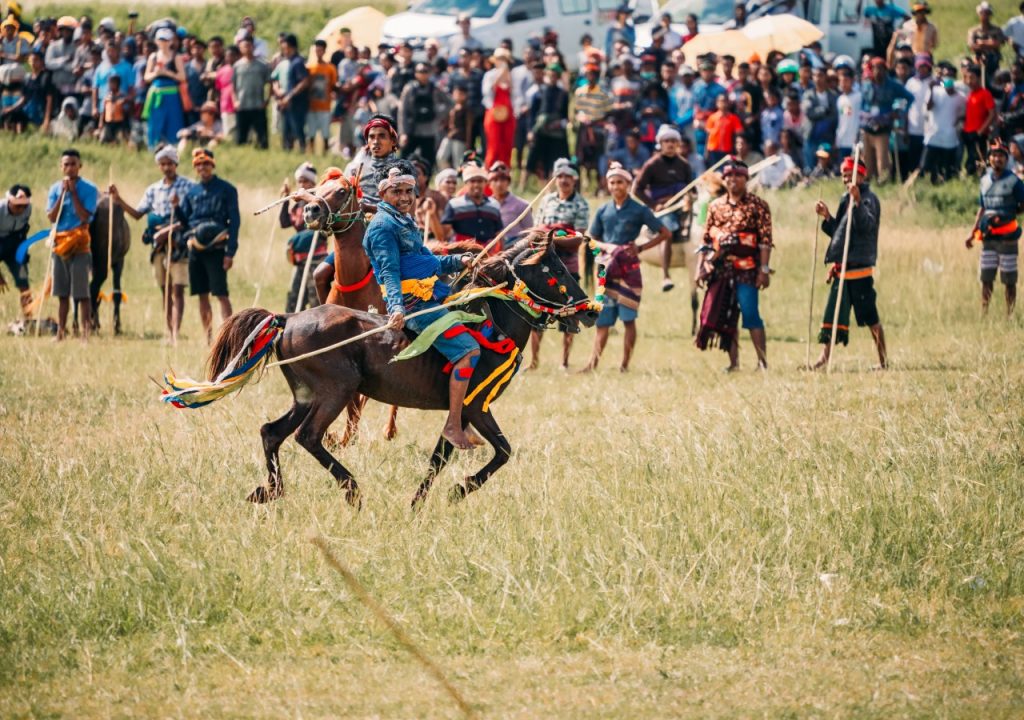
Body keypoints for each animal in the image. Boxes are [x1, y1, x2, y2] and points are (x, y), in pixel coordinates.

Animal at [182, 231, 598, 507]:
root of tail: (289, 319)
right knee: (308, 437)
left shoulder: (461, 412)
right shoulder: (474, 406)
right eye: (555, 269)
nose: (590, 311)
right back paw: (352, 489)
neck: (489, 320)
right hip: (336, 392)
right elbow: (501, 451)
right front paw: (460, 489)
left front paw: (419, 503)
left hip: (305, 396)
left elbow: (440, 457)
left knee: (272, 433)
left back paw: (270, 490)